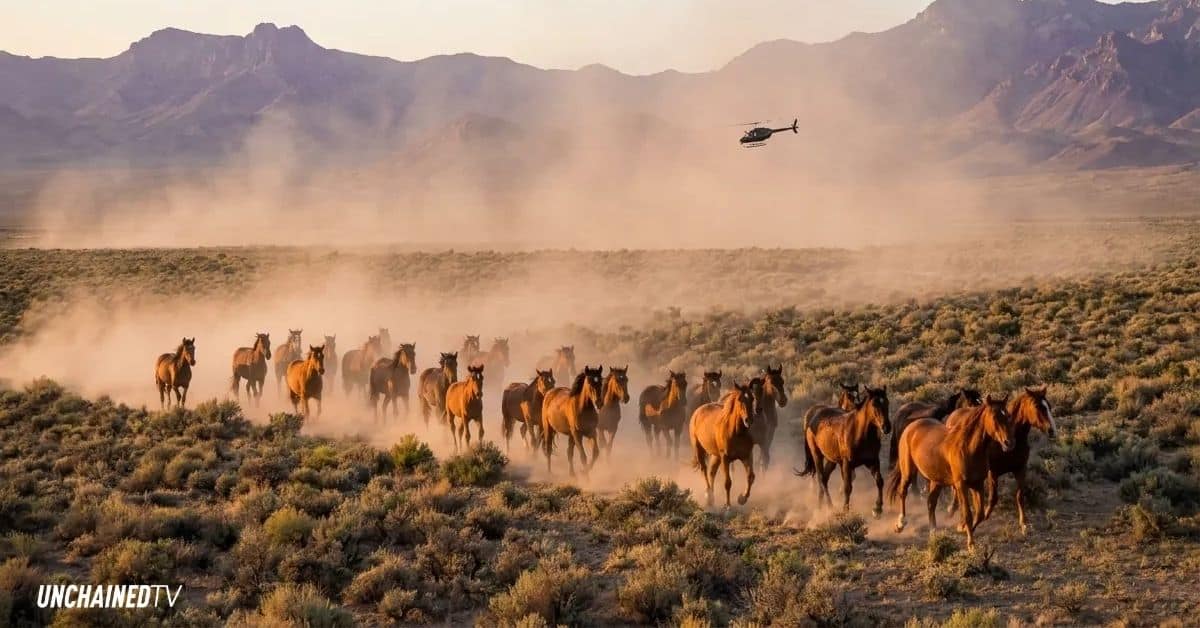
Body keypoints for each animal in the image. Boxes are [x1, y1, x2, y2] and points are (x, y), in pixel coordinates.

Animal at [794, 387, 891, 516]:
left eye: (887, 403)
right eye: (874, 404)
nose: (886, 427)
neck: (860, 433)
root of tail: (813, 414)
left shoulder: (873, 461)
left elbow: (879, 481)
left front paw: (877, 509)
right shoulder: (847, 464)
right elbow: (847, 487)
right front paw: (845, 510)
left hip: (832, 460)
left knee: (824, 479)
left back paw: (821, 506)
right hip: (817, 455)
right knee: (821, 478)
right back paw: (829, 507)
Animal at [886, 395, 1014, 549]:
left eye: (1008, 416)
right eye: (995, 417)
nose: (1009, 443)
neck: (969, 447)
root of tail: (912, 426)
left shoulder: (977, 484)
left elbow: (980, 514)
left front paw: (962, 528)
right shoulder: (961, 485)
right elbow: (968, 514)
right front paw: (971, 544)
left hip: (936, 480)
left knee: (930, 502)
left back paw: (933, 533)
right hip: (908, 472)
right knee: (903, 491)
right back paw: (900, 524)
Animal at [946, 387, 1056, 533]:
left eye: (1048, 406)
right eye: (1037, 407)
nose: (1052, 431)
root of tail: (954, 414)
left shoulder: (1020, 469)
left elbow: (1020, 496)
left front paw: (1024, 524)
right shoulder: (993, 473)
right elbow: (993, 499)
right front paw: (976, 520)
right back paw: (952, 509)